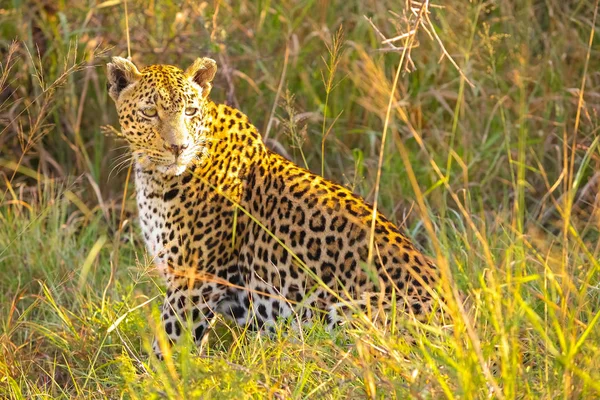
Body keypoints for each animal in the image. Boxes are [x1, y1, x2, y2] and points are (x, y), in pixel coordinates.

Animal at [106, 55, 440, 356]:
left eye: (190, 112)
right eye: (150, 112)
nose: (179, 147)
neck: (156, 178)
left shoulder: (194, 282)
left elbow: (168, 344)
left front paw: (153, 375)